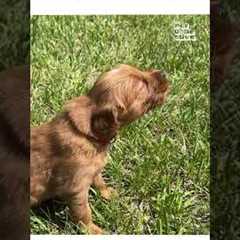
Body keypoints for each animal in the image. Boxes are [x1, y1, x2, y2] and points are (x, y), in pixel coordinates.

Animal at [31, 64, 170, 233]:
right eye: (142, 85)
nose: (164, 72)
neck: (87, 133)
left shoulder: (94, 170)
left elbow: (99, 181)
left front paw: (108, 194)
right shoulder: (76, 188)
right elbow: (83, 212)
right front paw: (92, 230)